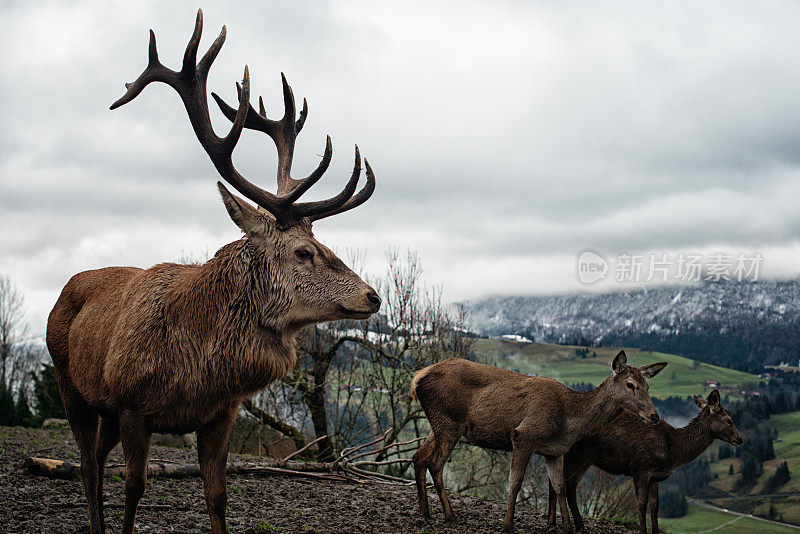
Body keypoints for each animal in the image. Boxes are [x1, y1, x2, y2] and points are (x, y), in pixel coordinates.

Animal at [47, 11, 382, 534]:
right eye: (304, 252)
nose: (372, 296)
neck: (197, 368)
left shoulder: (219, 414)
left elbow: (218, 496)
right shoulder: (133, 406)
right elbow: (135, 487)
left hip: (102, 408)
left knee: (96, 461)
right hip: (72, 388)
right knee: (86, 463)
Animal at [410, 354, 664, 532]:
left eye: (648, 386)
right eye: (630, 384)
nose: (654, 416)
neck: (567, 420)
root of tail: (417, 379)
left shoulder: (555, 451)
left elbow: (559, 487)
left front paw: (566, 528)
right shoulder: (523, 436)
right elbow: (515, 482)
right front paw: (507, 526)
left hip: (437, 424)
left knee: (419, 456)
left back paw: (425, 512)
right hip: (449, 421)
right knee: (435, 463)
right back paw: (450, 515)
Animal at [552, 390, 744, 534]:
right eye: (729, 421)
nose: (740, 439)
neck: (671, 451)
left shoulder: (655, 477)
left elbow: (655, 506)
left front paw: (656, 530)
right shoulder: (640, 469)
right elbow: (641, 503)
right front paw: (643, 531)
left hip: (585, 461)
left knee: (570, 486)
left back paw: (579, 526)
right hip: (571, 455)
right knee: (556, 483)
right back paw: (554, 524)